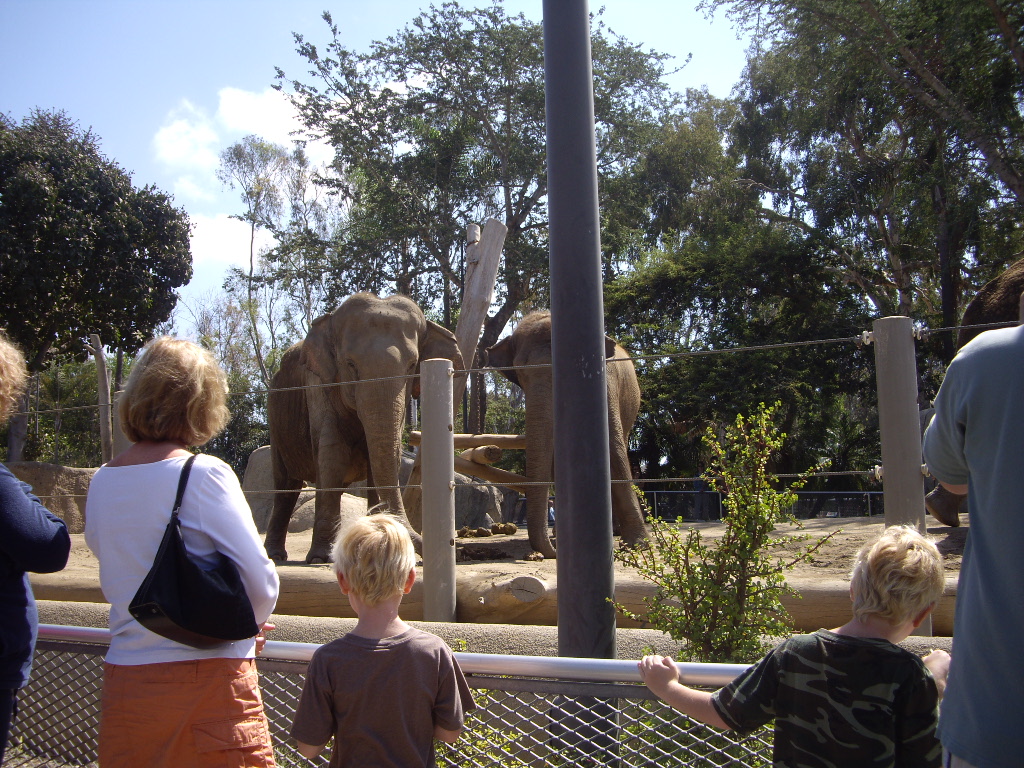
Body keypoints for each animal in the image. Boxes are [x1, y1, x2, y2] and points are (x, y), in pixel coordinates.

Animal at [260, 294, 464, 565]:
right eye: (350, 364)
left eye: (412, 365)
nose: (456, 548)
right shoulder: (318, 384)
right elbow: (332, 454)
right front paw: (320, 558)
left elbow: (385, 456)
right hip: (275, 412)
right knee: (286, 486)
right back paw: (275, 555)